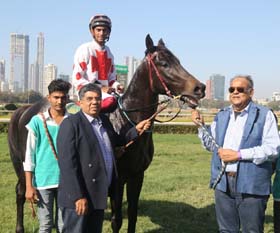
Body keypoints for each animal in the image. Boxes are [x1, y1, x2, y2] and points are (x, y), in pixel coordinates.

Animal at [7, 33, 205, 232]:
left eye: (178, 61)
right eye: (164, 63)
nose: (200, 88)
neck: (126, 120)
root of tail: (24, 110)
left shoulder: (137, 176)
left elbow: (132, 214)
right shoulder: (117, 179)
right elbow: (117, 220)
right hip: (21, 163)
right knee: (21, 190)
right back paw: (20, 227)